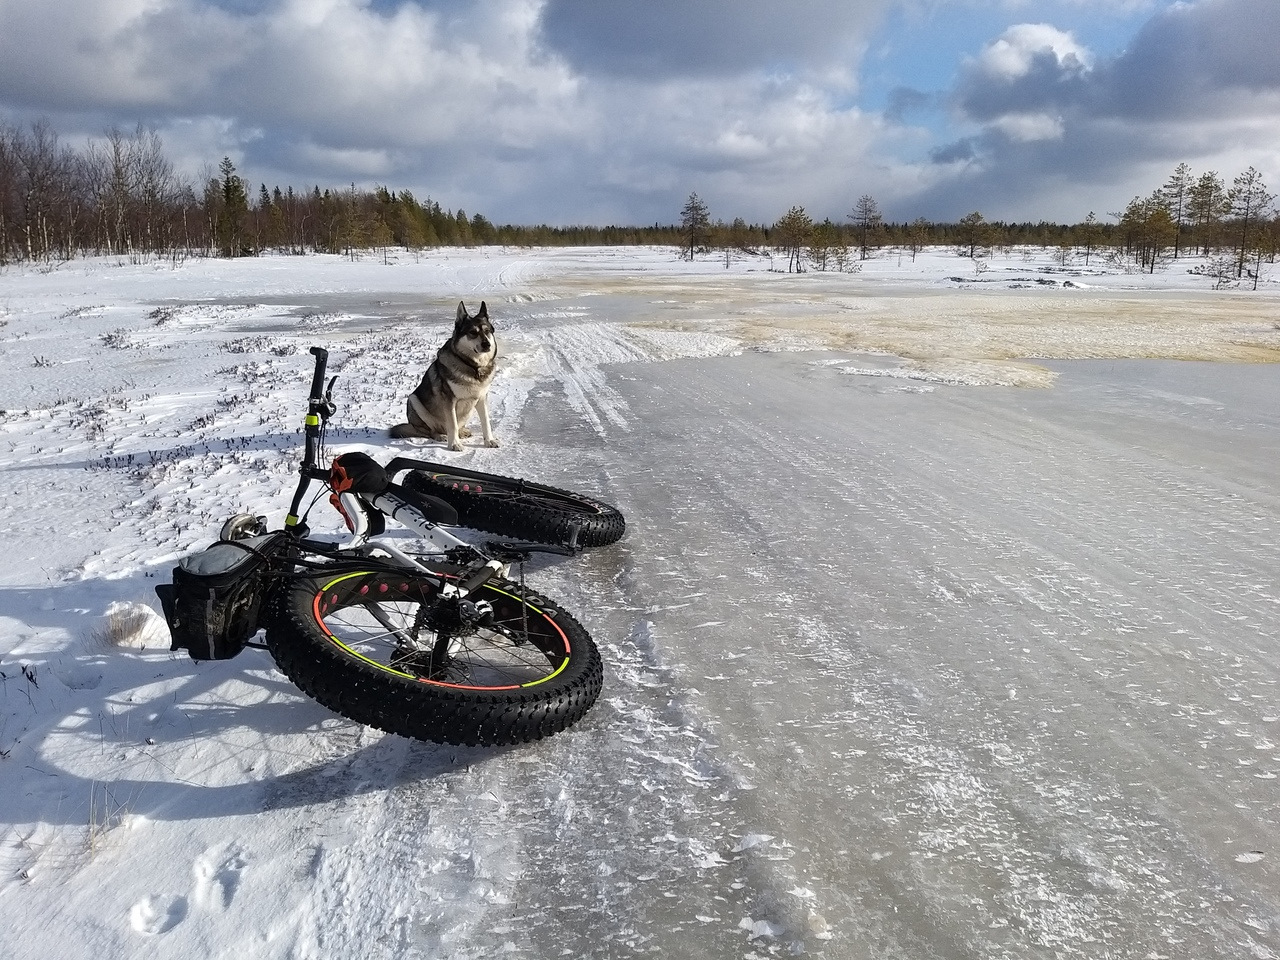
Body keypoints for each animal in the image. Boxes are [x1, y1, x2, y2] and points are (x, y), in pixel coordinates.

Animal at [386, 300, 496, 450]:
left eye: (487, 331)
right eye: (473, 332)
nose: (487, 344)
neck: (473, 367)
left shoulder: (481, 398)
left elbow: (486, 422)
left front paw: (489, 441)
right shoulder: (449, 400)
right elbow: (452, 424)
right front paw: (454, 444)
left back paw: (462, 432)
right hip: (414, 400)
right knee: (430, 431)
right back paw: (441, 436)